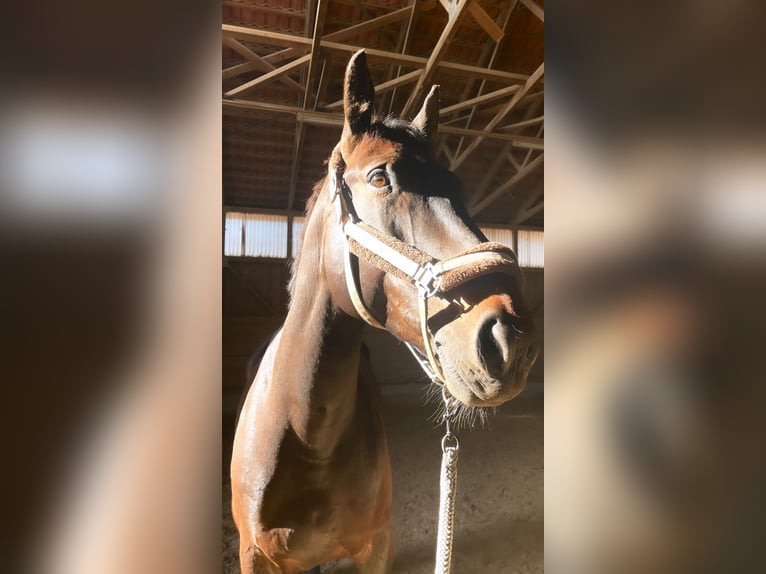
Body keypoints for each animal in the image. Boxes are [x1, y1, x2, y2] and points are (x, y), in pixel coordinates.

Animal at [231, 50, 536, 574]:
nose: (508, 338)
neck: (308, 433)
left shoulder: (377, 547)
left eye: (458, 189)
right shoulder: (255, 556)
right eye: (379, 177)